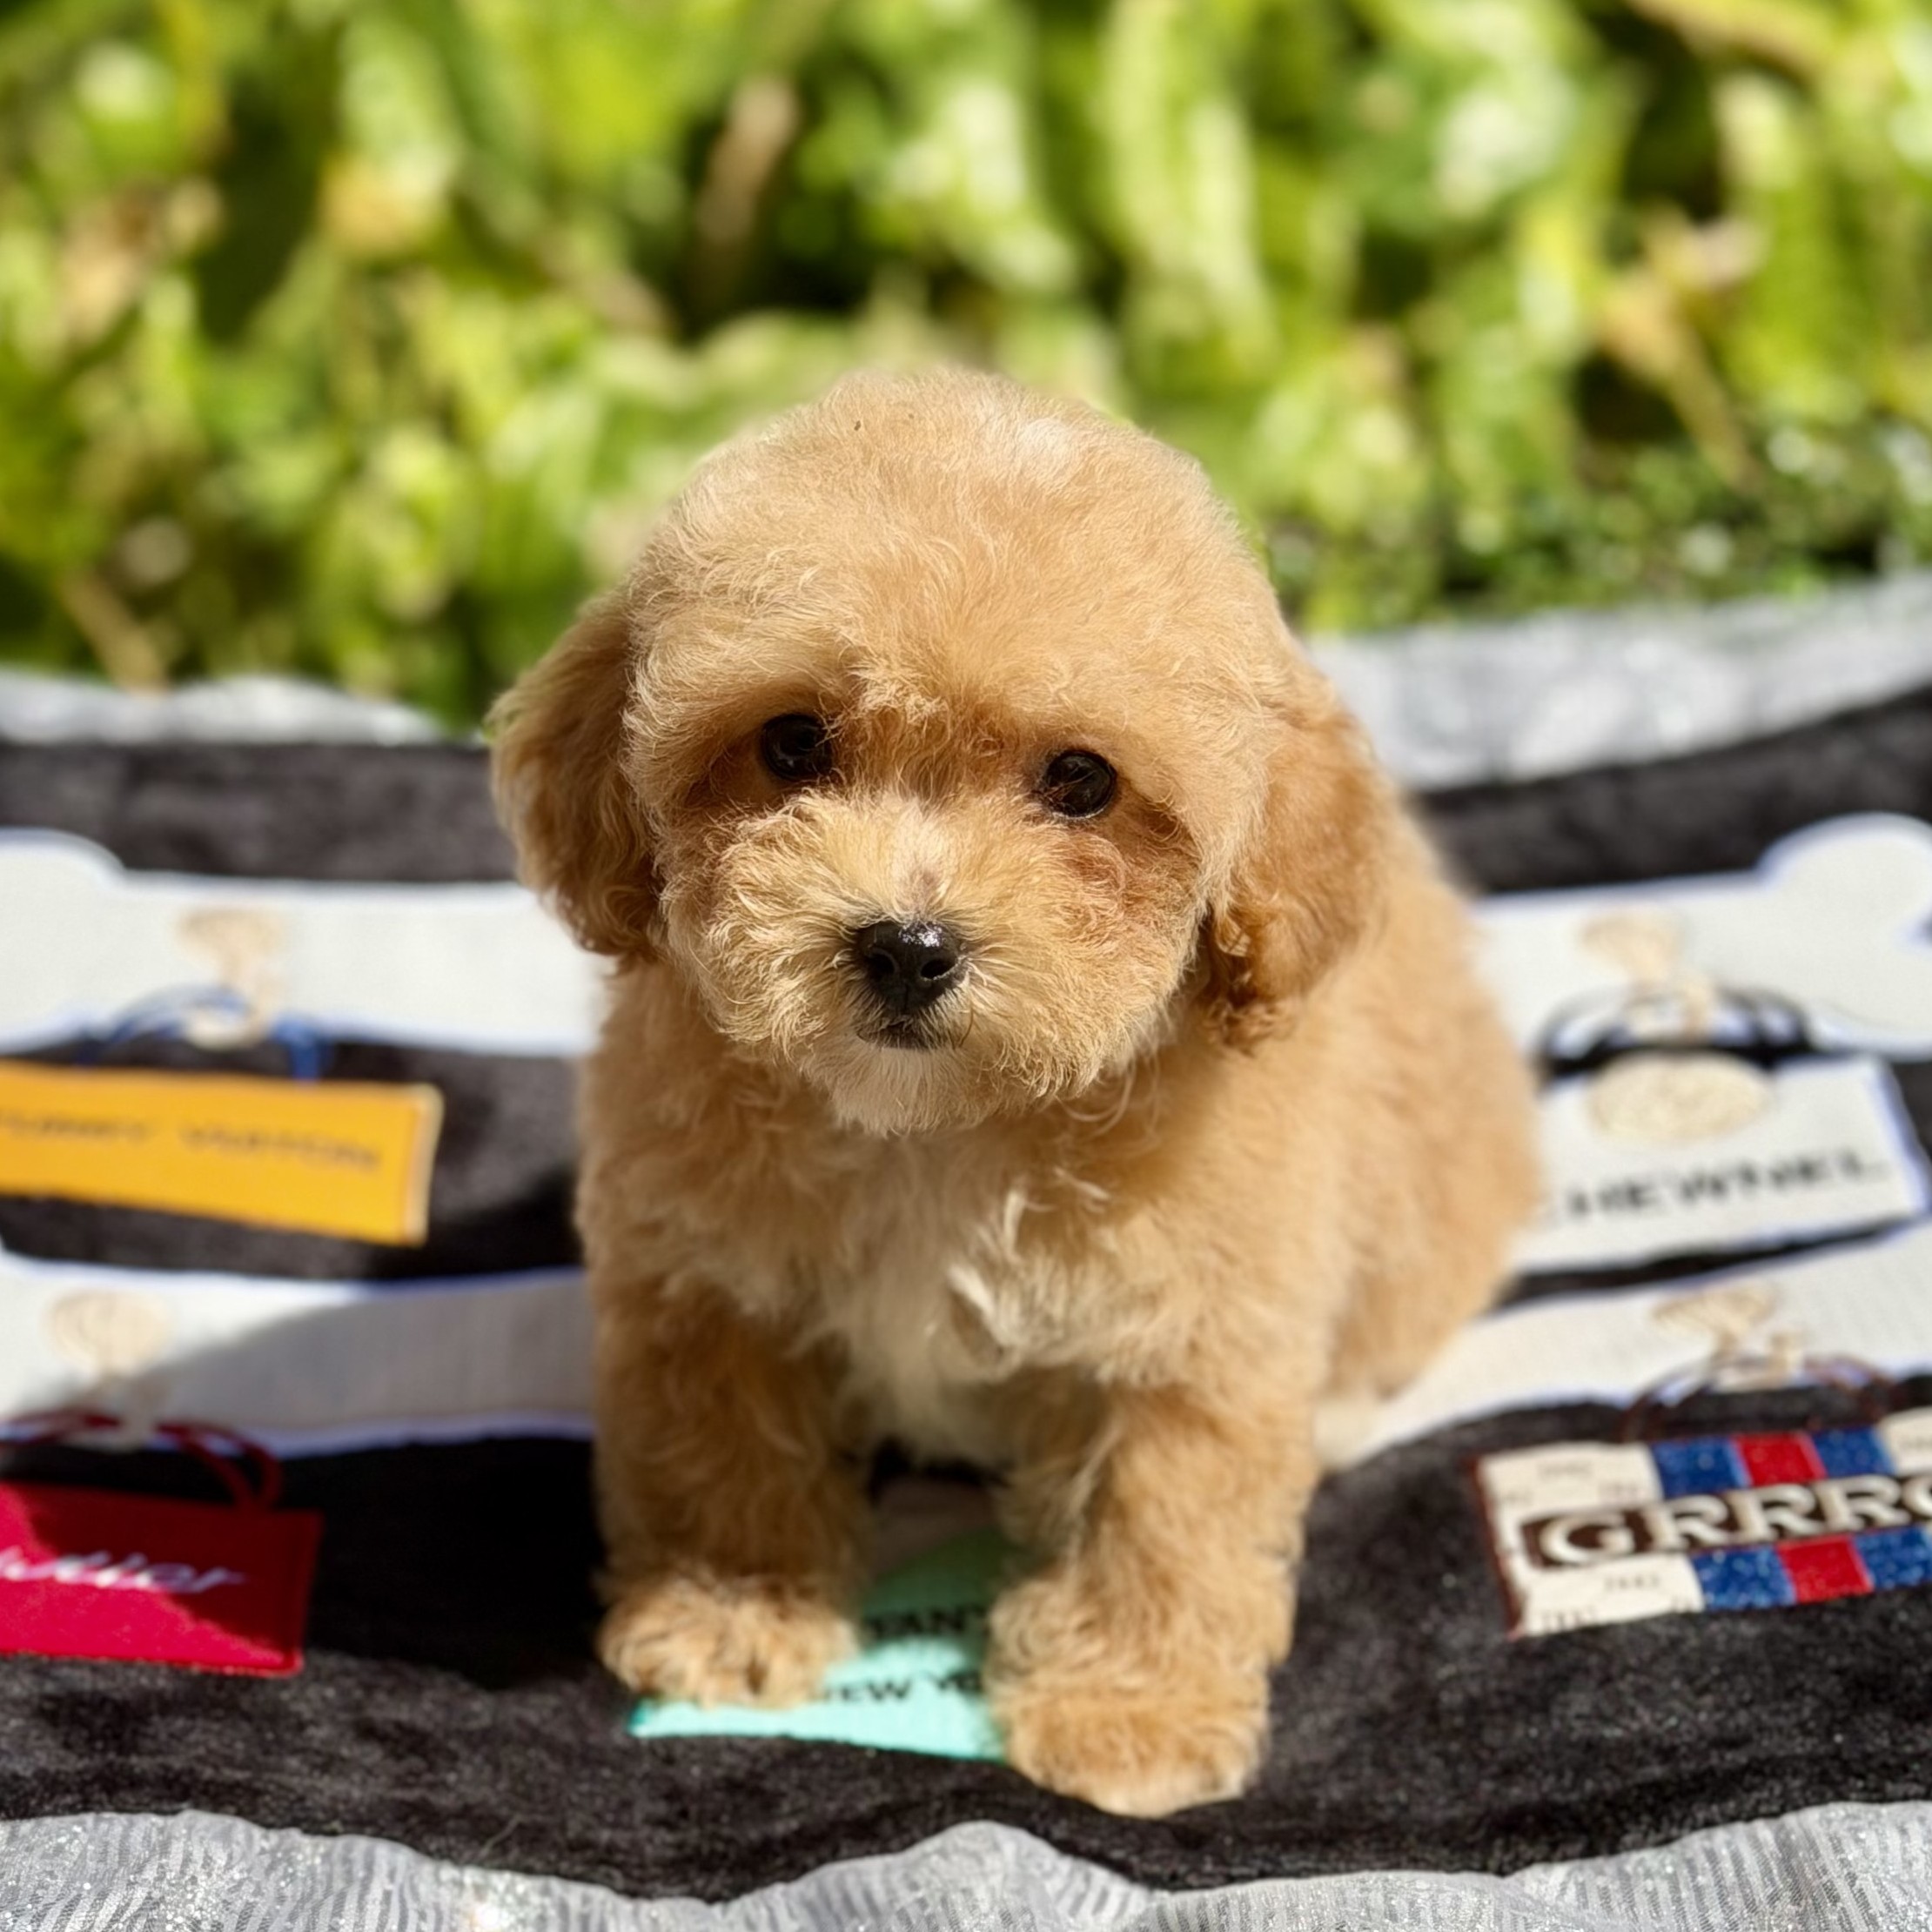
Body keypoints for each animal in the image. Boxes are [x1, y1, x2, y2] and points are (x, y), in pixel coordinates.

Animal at [490, 367, 1538, 1817]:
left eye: (1081, 781)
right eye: (794, 742)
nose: (906, 944)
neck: (935, 1130)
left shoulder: (1187, 1331)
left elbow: (1156, 1514)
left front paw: (1128, 1713)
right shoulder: (708, 1285)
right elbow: (722, 1449)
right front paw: (733, 1613)